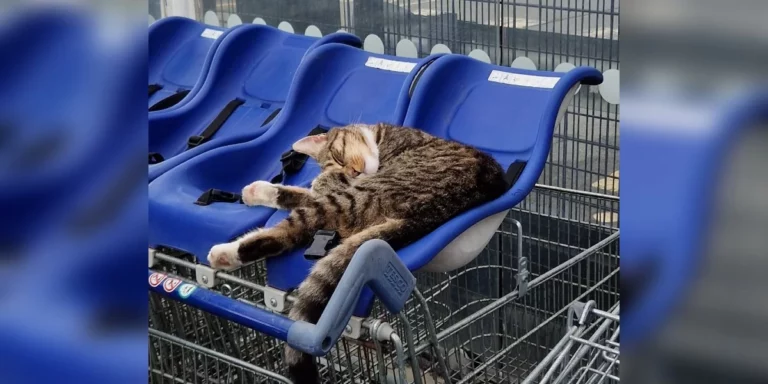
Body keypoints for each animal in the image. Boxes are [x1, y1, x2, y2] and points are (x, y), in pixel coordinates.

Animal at [207, 123, 508, 384]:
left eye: (339, 157)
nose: (352, 172)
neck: (381, 137)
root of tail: (427, 214)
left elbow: (313, 190)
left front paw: (314, 181)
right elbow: (300, 192)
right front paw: (260, 191)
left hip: (352, 200)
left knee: (292, 230)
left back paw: (225, 253)